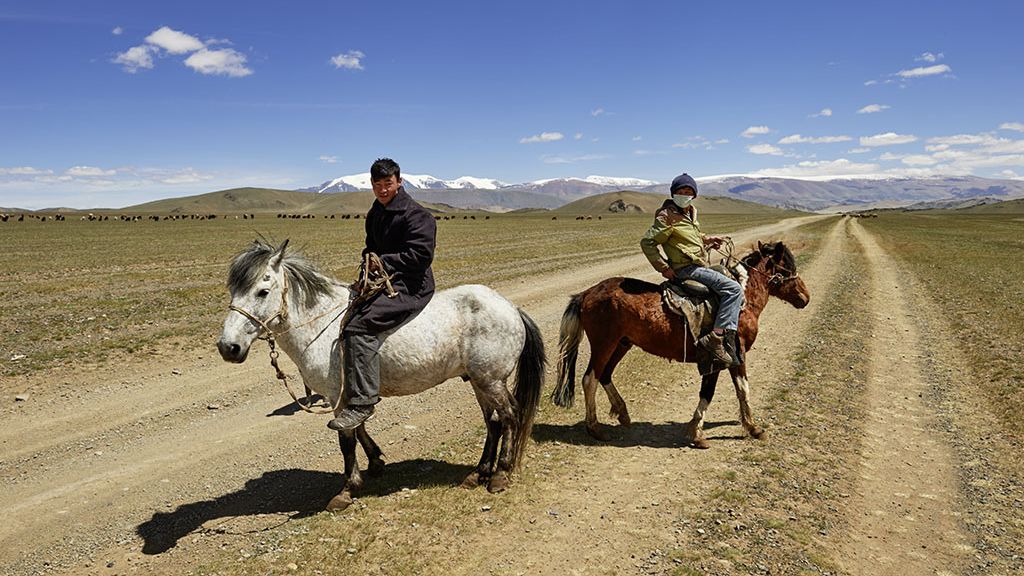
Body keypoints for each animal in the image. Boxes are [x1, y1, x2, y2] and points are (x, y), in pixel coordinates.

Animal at [220, 239, 548, 508]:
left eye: (262, 291)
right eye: (233, 292)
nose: (228, 347)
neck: (321, 323)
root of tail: (512, 308)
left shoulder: (337, 394)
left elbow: (346, 440)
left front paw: (347, 490)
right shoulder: (351, 395)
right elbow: (358, 425)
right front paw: (376, 462)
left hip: (491, 381)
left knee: (509, 416)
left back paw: (500, 475)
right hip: (479, 382)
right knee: (493, 422)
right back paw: (478, 473)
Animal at [552, 239, 806, 446]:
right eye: (788, 268)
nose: (806, 297)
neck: (743, 300)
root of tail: (586, 293)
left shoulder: (722, 358)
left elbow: (720, 391)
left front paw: (704, 430)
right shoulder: (732, 354)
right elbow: (732, 390)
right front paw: (748, 429)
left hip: (622, 344)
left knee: (605, 375)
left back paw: (622, 413)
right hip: (604, 344)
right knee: (590, 379)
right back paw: (595, 428)